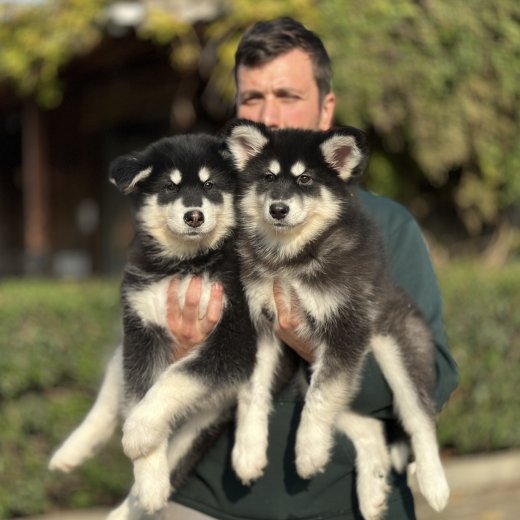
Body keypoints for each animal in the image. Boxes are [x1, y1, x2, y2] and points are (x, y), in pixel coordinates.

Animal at [50, 135, 258, 520]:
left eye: (210, 185)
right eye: (169, 188)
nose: (194, 215)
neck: (185, 264)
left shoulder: (234, 340)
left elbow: (173, 380)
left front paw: (138, 434)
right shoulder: (141, 329)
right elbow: (139, 395)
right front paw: (147, 468)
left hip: (208, 416)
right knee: (111, 392)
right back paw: (73, 453)